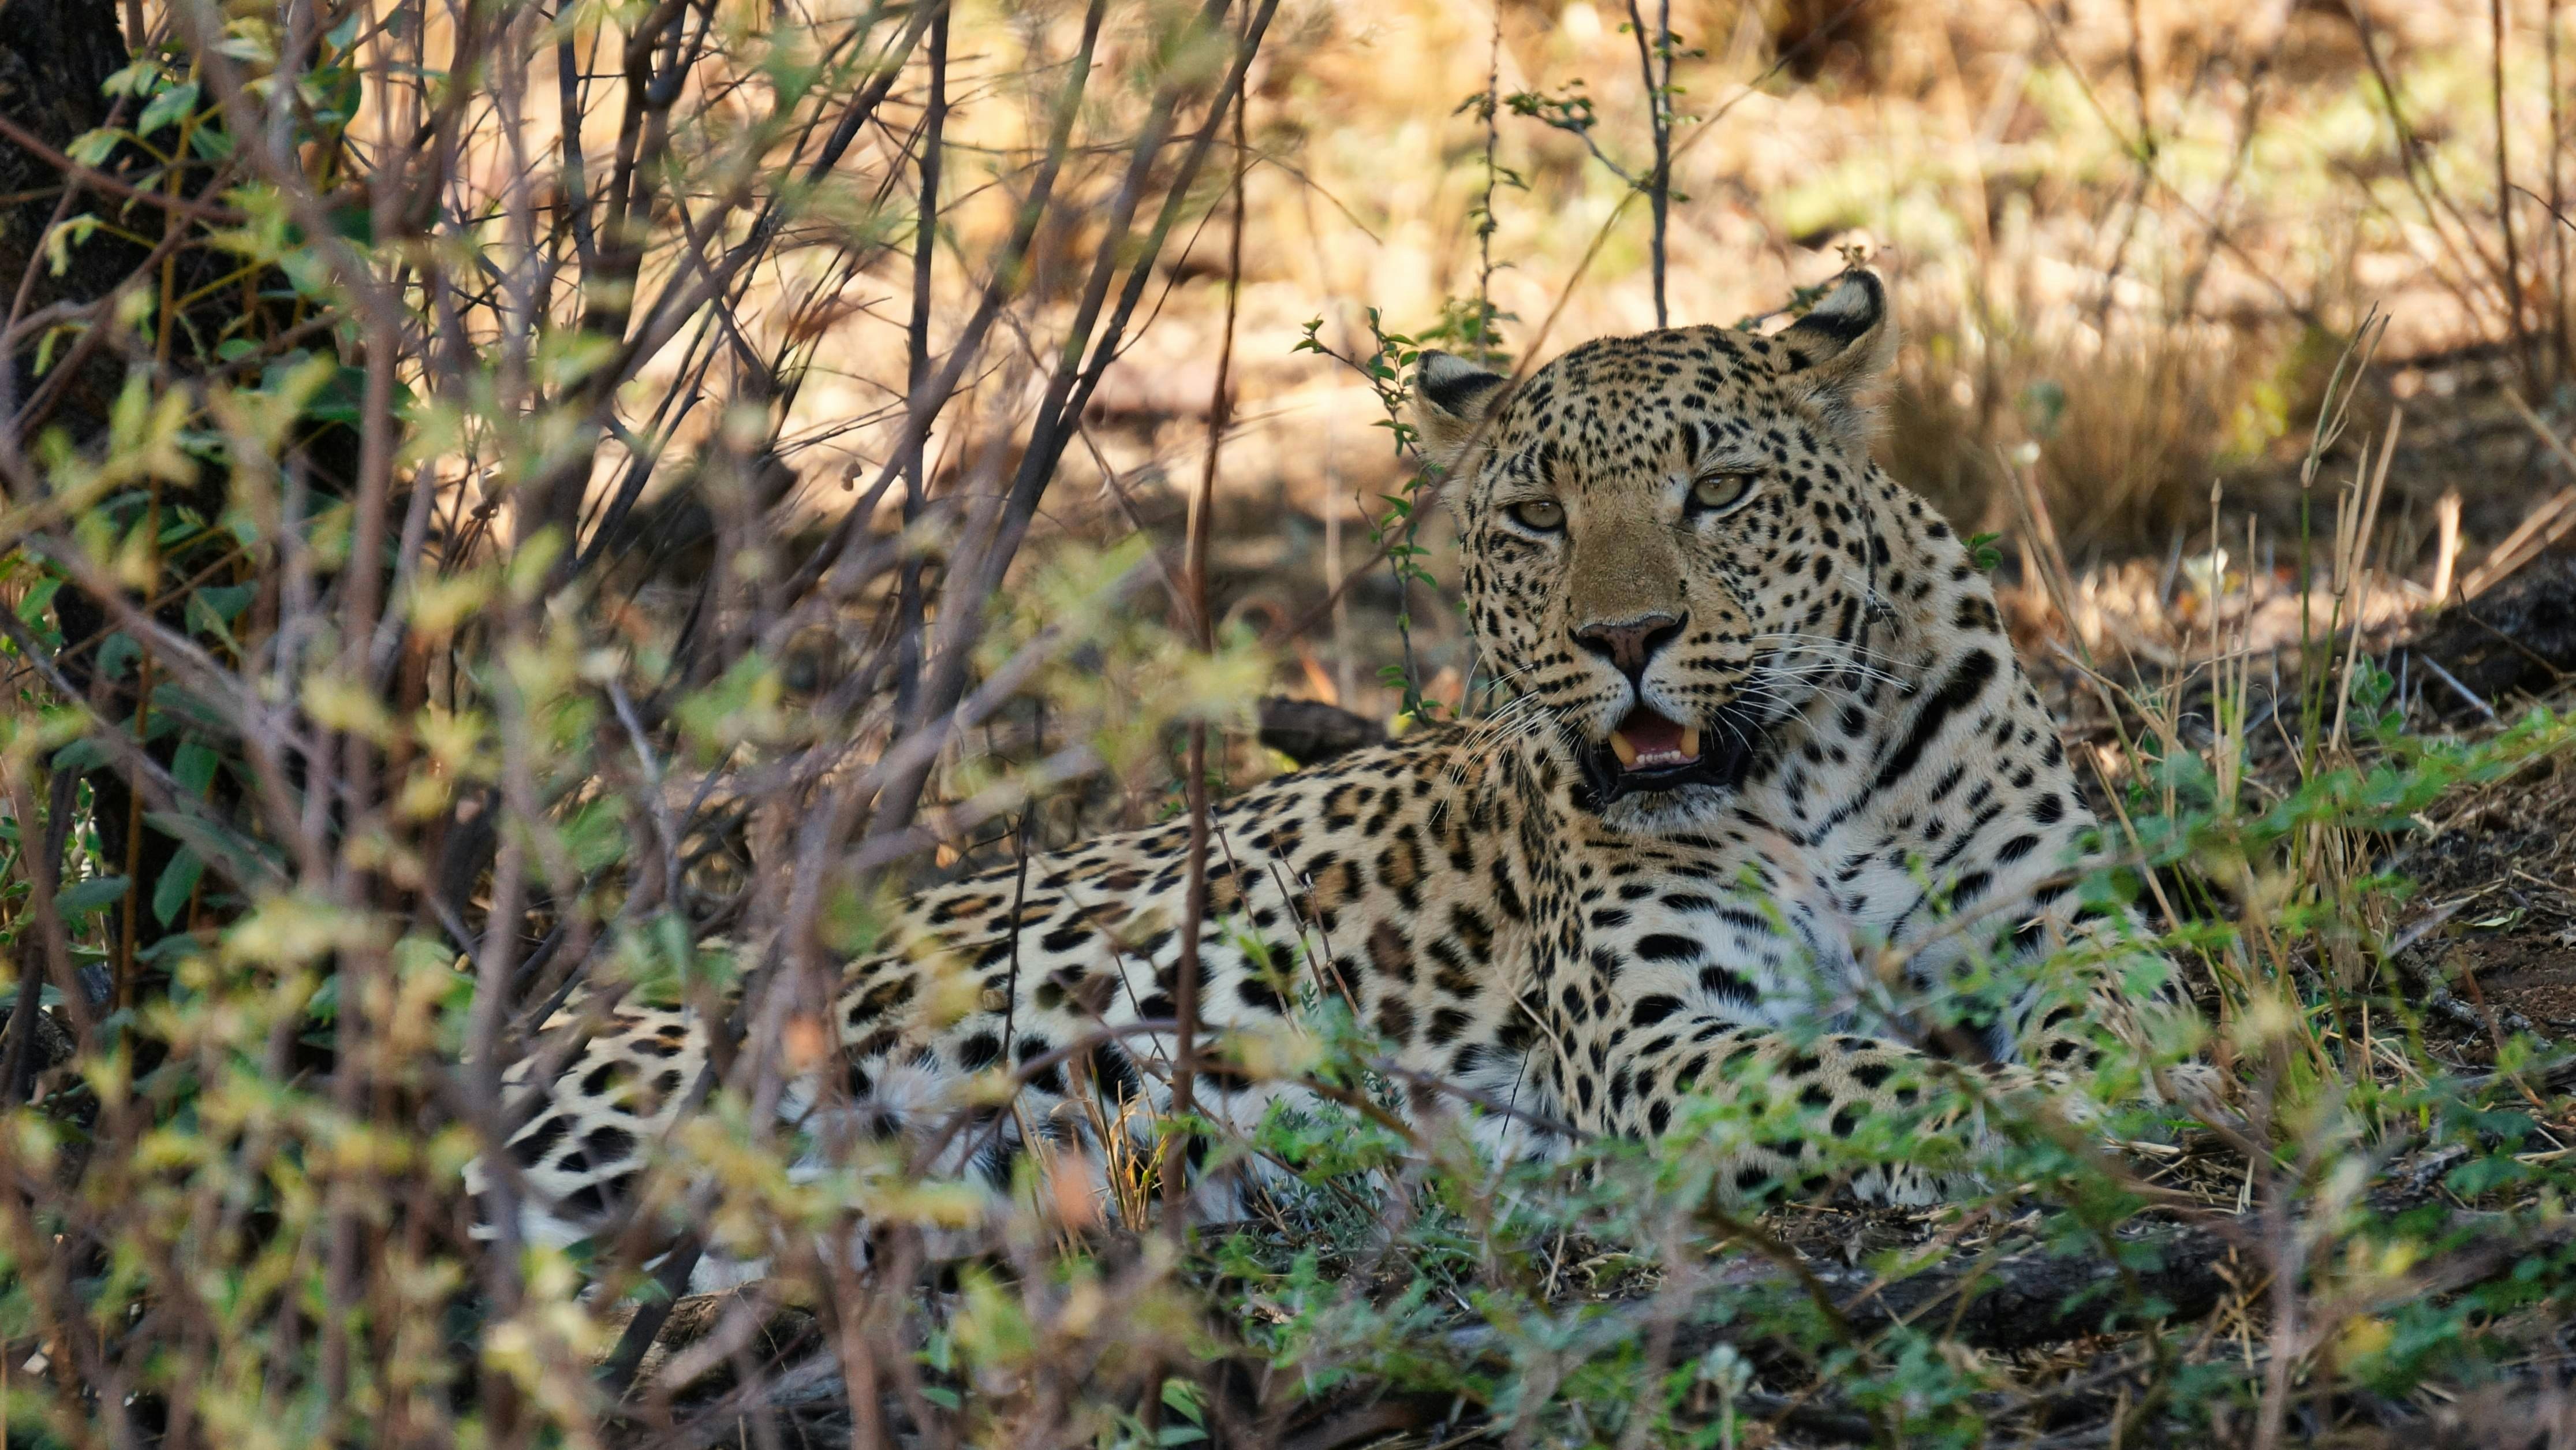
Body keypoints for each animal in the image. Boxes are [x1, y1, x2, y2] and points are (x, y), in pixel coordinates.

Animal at [479, 266, 2215, 1288]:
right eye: (1532, 517)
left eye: (1716, 491)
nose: (1627, 637)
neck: (1806, 770)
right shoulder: (1664, 1040)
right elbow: (1868, 1072)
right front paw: (2026, 1118)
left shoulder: (2058, 913)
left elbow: (2118, 995)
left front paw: (2131, 1078)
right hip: (664, 1108)